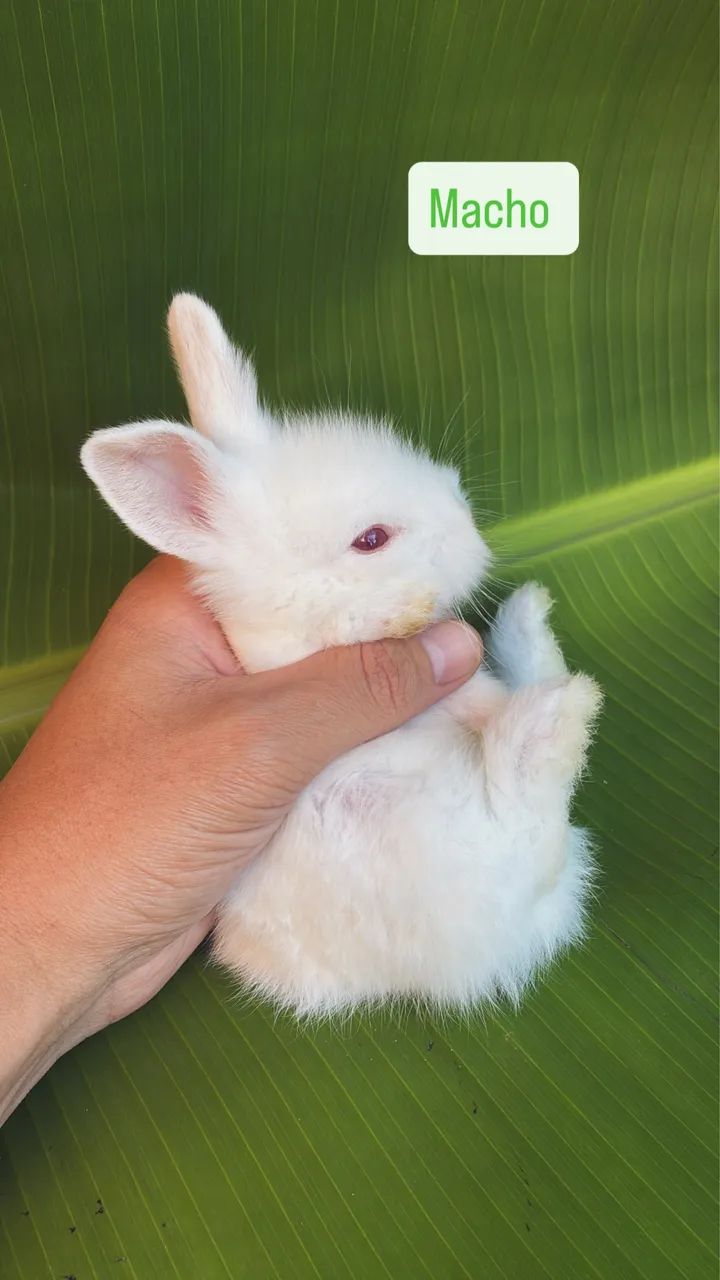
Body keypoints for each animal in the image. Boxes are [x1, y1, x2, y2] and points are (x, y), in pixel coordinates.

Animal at [81, 294, 602, 1017]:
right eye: (371, 539)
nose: (473, 532)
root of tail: (540, 919)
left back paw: (528, 625)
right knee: (530, 812)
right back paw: (550, 712)